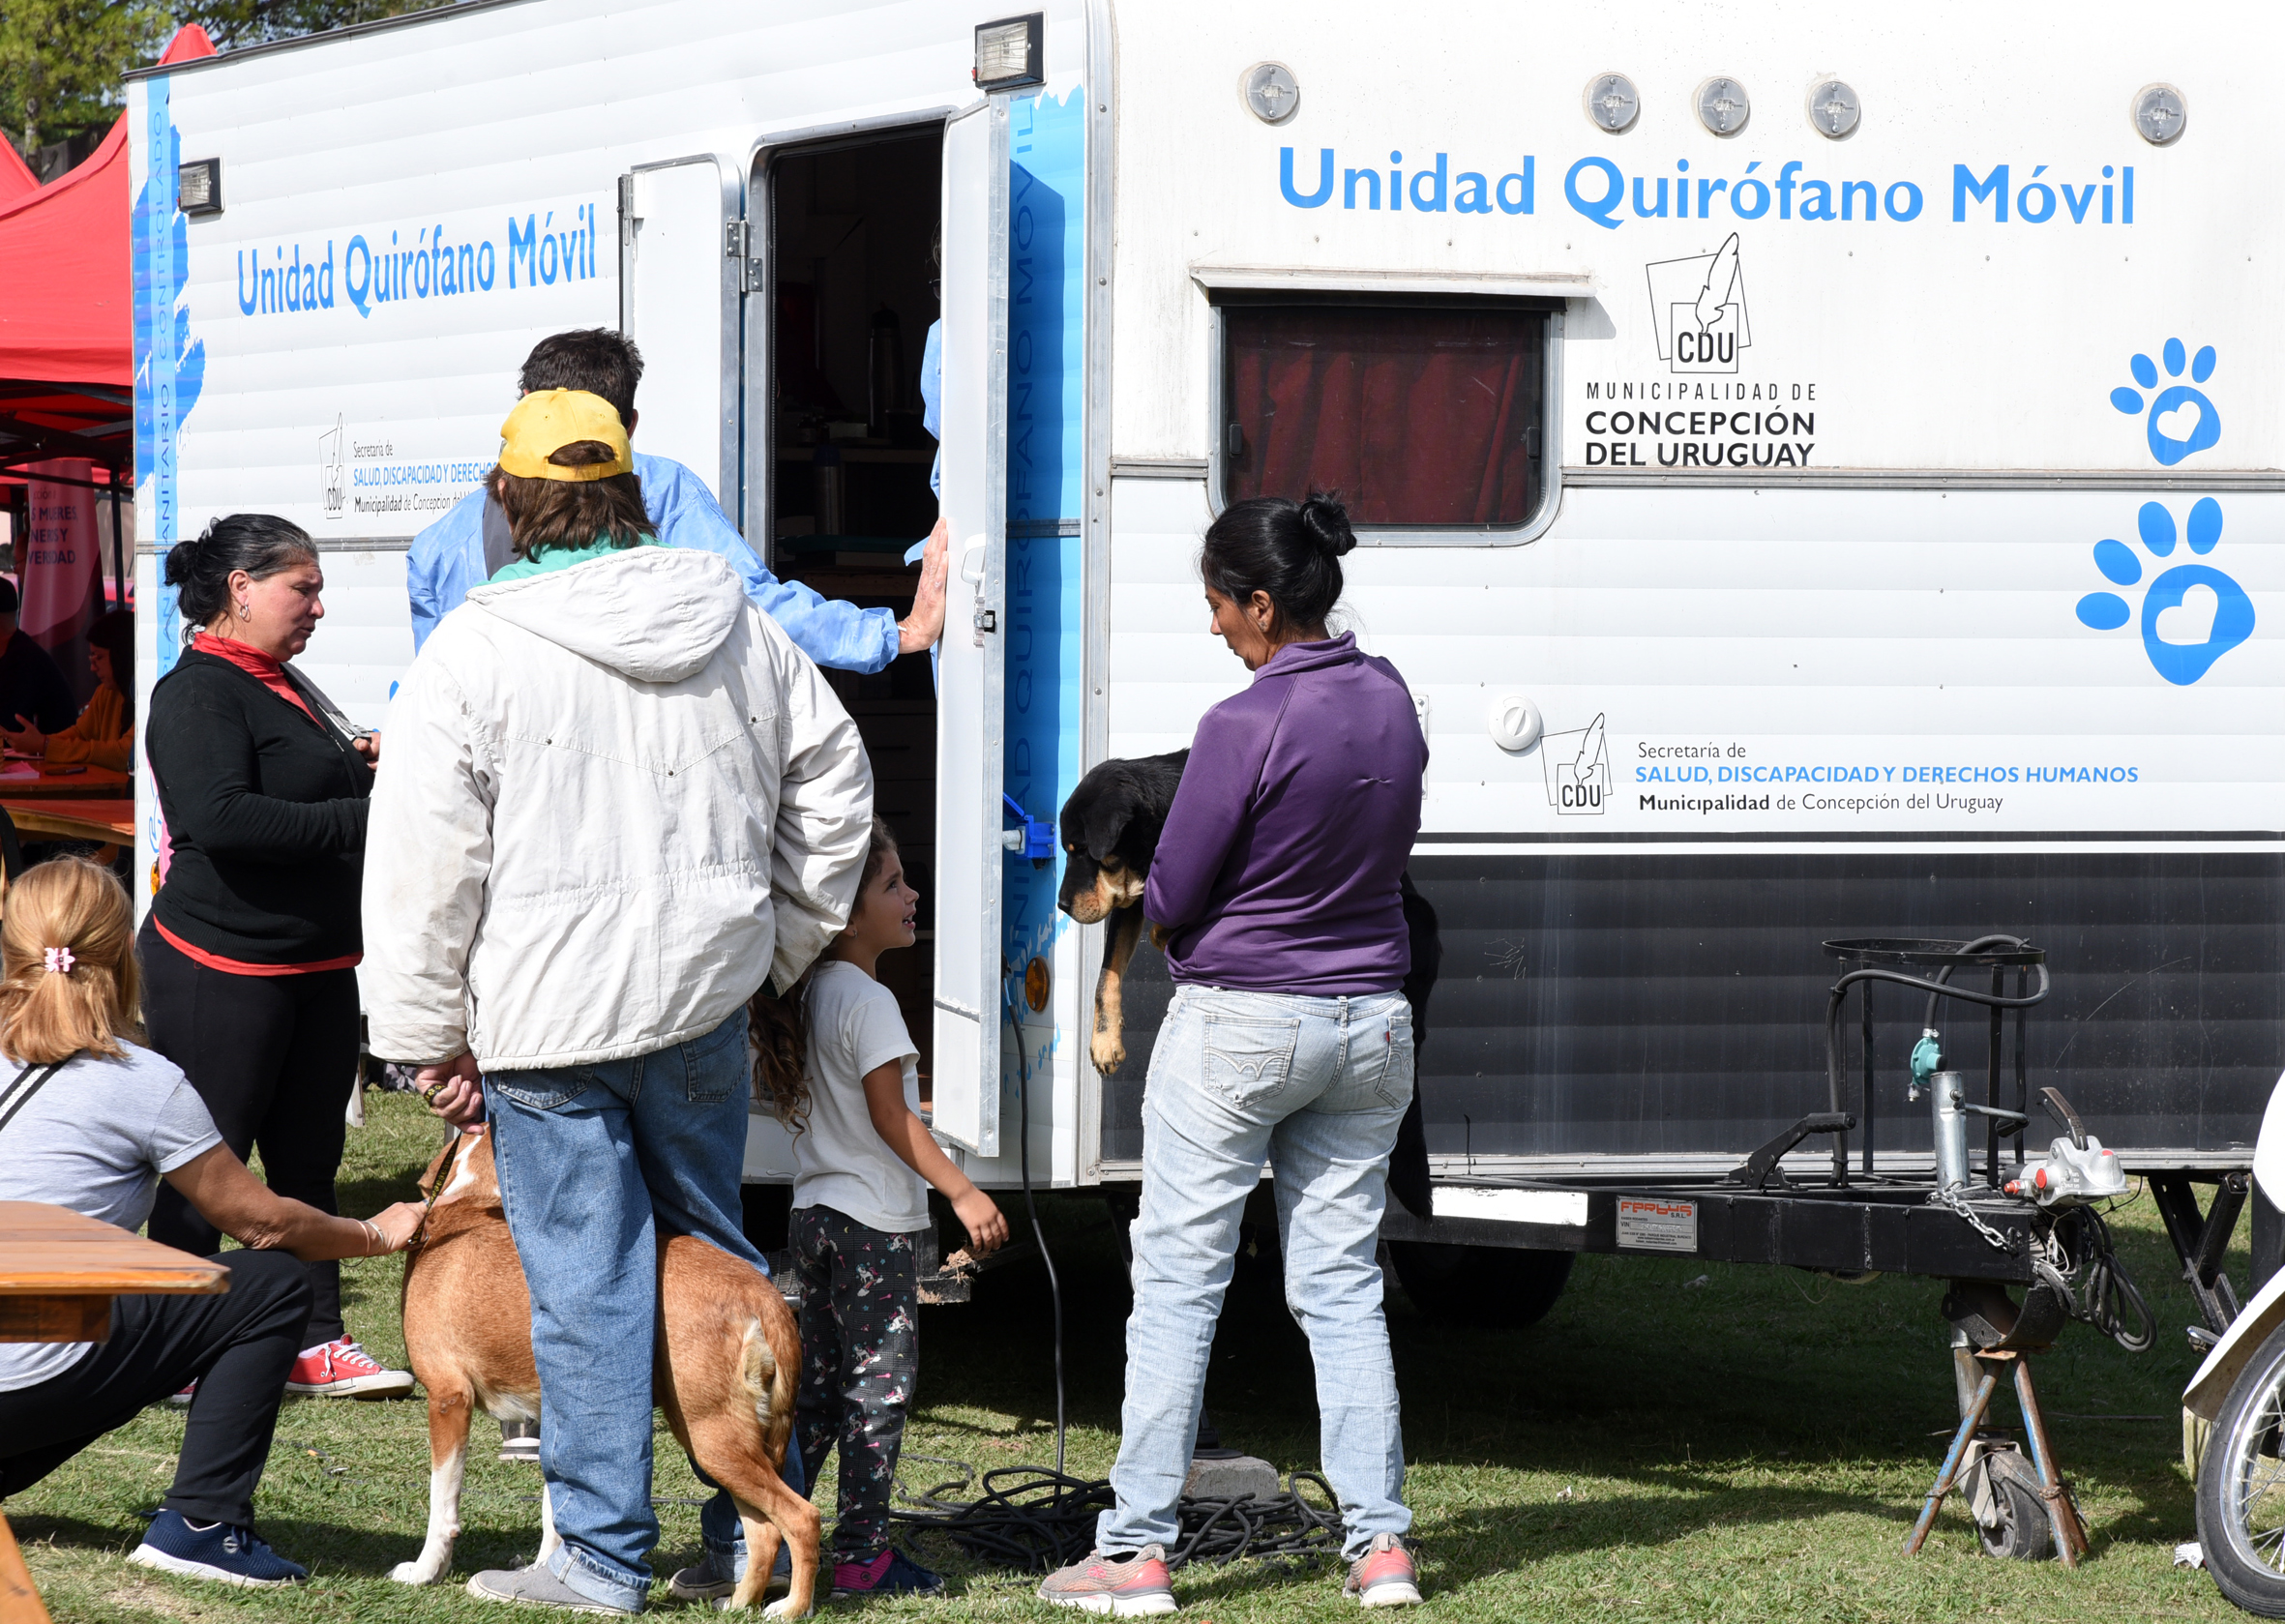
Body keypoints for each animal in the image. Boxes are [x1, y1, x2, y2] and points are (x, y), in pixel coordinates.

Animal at [393, 1133, 822, 1616]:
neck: (467, 1205)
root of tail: (763, 1295)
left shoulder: (448, 1397)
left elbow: (441, 1503)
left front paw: (425, 1570)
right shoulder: (559, 1410)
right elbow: (556, 1511)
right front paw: (543, 1574)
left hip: (711, 1438)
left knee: (802, 1519)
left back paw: (791, 1608)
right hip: (733, 1446)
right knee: (764, 1532)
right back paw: (737, 1604)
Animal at [1055, 753, 1443, 1224]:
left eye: (1081, 850)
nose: (1061, 905)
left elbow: (1165, 919)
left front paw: (1168, 935)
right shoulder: (1127, 901)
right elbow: (1107, 975)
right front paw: (1105, 1043)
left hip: (1418, 917)